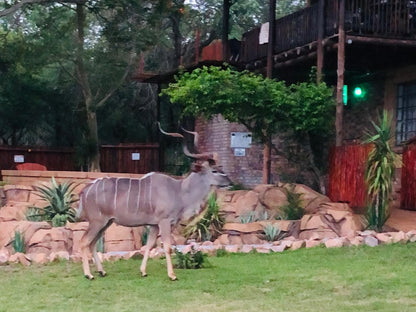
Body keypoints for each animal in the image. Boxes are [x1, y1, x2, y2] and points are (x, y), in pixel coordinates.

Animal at [78, 124, 231, 280]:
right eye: (214, 170)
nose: (229, 182)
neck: (179, 191)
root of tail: (85, 190)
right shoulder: (164, 222)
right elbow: (167, 247)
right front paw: (172, 275)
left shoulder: (154, 225)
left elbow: (149, 245)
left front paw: (143, 271)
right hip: (97, 222)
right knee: (84, 242)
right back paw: (89, 275)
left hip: (106, 223)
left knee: (92, 243)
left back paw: (102, 271)